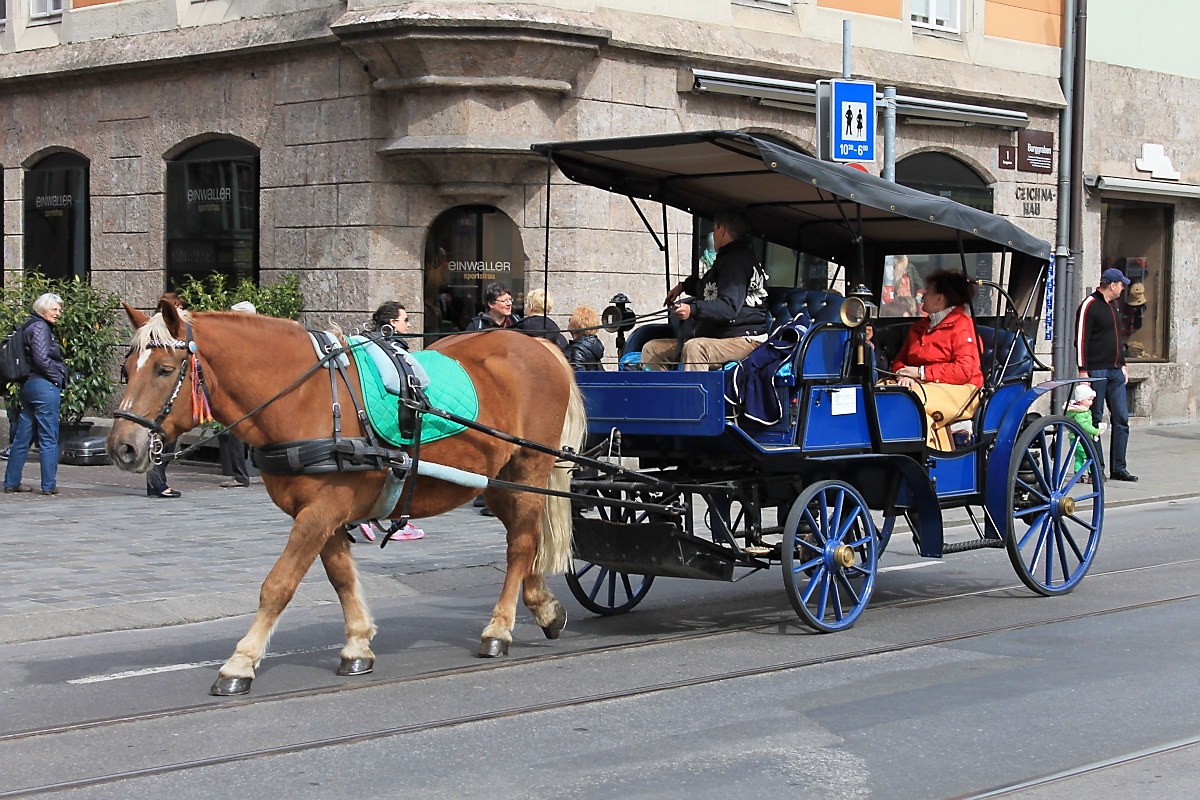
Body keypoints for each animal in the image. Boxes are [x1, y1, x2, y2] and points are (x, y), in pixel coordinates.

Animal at [108, 299, 585, 695]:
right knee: (527, 541)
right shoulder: (323, 514)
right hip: (498, 481)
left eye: (164, 369)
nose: (122, 447)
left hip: (528, 467)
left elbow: (278, 585)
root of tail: (539, 345)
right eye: (126, 369)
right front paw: (357, 644)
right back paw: (543, 607)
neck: (306, 396)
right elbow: (341, 578)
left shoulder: (320, 511)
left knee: (520, 545)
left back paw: (498, 629)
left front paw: (241, 662)